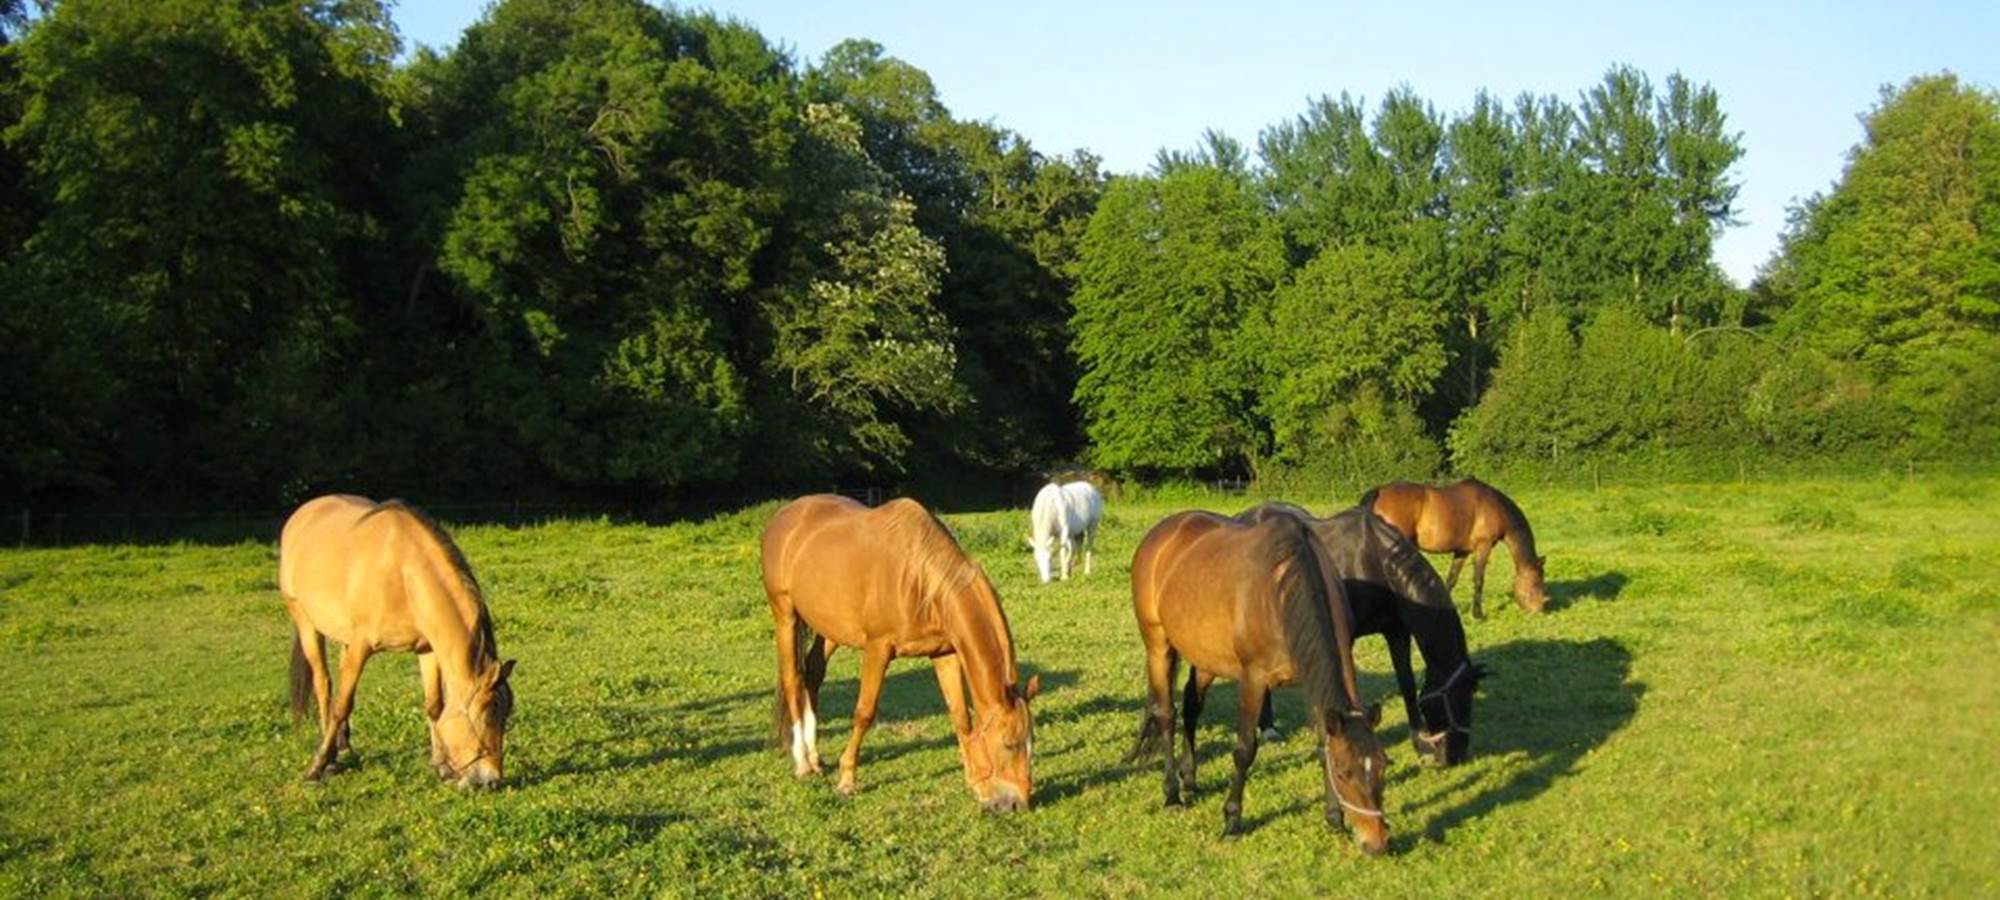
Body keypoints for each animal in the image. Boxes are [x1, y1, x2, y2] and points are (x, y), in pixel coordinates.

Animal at [279, 495, 516, 787]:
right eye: (489, 713)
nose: (491, 781)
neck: (403, 574)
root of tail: (303, 513)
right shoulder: (361, 647)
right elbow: (341, 705)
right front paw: (317, 766)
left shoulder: (427, 648)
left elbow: (434, 706)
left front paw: (442, 766)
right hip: (306, 623)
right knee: (324, 686)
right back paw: (331, 757)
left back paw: (343, 745)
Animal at [761, 494, 1040, 812]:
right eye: (1009, 743)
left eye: (1032, 742)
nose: (1018, 804)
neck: (918, 578)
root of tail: (784, 515)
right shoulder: (878, 649)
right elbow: (864, 713)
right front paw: (847, 780)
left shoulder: (944, 653)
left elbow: (960, 716)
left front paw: (976, 783)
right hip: (785, 614)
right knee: (793, 678)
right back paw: (803, 762)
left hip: (830, 627)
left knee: (813, 674)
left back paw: (815, 756)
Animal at [1128, 510, 1390, 853]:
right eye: (1344, 773)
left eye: (1383, 766)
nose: (1377, 842)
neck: (1284, 592)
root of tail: (1160, 533)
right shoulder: (1253, 679)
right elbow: (1244, 750)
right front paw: (1232, 821)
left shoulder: (1310, 682)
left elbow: (1322, 745)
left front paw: (1334, 818)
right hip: (1158, 645)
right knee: (1166, 715)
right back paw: (1172, 794)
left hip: (1206, 655)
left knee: (1191, 706)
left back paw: (1190, 779)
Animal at [1192, 503, 1485, 766]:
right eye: (1457, 698)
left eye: (1470, 695)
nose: (1456, 756)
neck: (1375, 560)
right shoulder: (1345, 637)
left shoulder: (1396, 631)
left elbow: (1407, 684)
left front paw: (1420, 744)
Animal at [1361, 478, 1548, 619]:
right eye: (1537, 582)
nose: (1539, 610)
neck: (1495, 507)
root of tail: (1380, 492)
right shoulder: (1483, 546)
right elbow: (1478, 580)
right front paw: (1478, 614)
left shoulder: (1462, 552)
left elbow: (1451, 580)